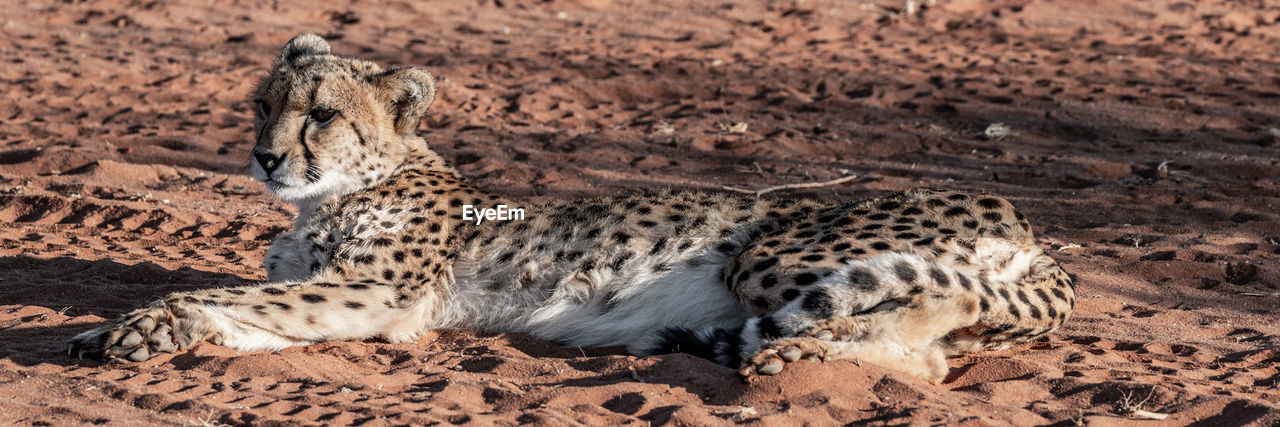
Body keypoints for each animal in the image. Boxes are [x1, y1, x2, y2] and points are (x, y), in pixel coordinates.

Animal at [67, 34, 1070, 380]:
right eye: (263, 103)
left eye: (319, 114)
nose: (265, 155)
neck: (338, 191)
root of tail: (1024, 219)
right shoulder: (350, 302)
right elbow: (242, 306)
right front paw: (127, 332)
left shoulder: (378, 299)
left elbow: (221, 292)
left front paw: (141, 324)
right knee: (929, 355)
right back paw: (802, 353)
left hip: (778, 251)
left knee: (928, 315)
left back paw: (803, 352)